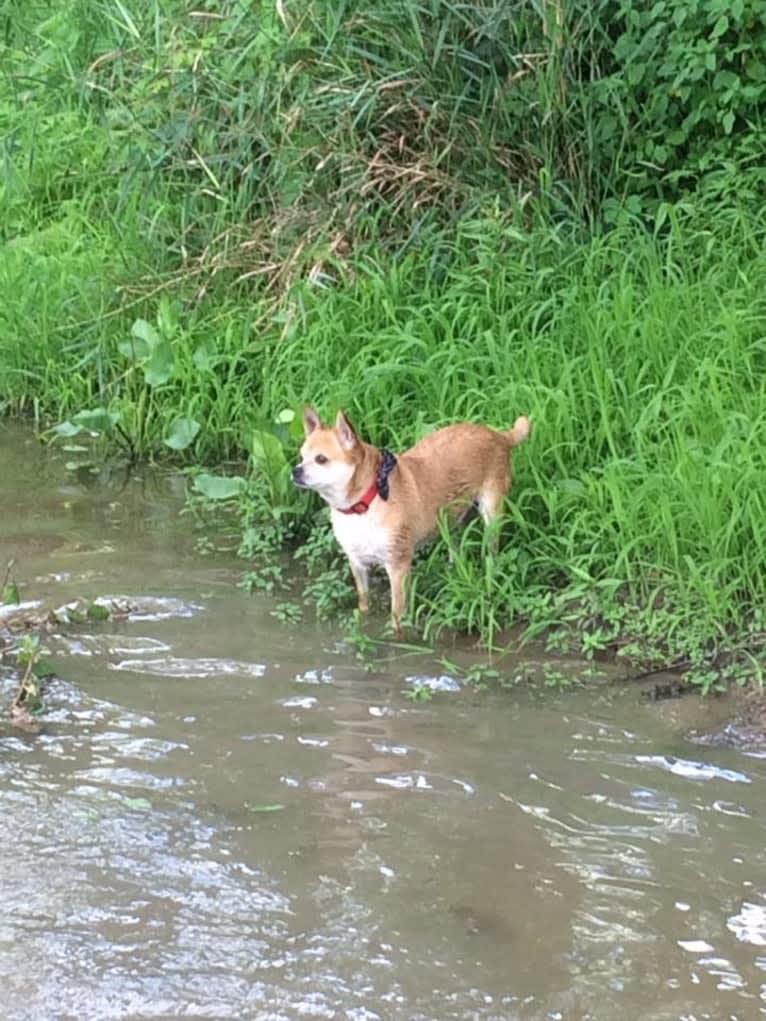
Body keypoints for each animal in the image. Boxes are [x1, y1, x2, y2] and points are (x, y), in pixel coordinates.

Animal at [294, 404, 535, 628]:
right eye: (301, 457)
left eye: (321, 459)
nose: (295, 470)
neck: (366, 501)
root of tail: (499, 435)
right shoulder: (357, 564)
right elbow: (363, 601)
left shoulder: (397, 566)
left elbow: (397, 614)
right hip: (452, 519)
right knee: (454, 547)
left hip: (491, 512)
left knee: (492, 549)